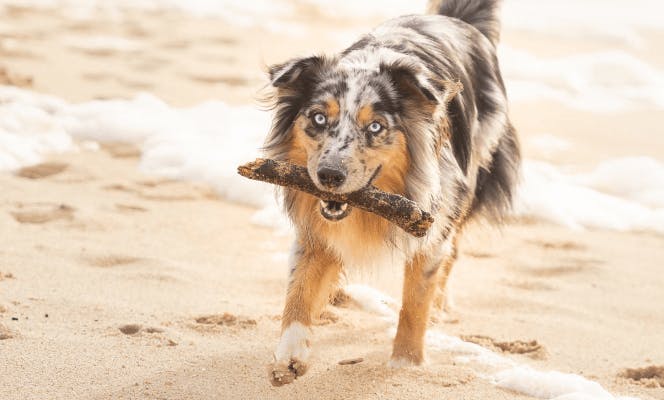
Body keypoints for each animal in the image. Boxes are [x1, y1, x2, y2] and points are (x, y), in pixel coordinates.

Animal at [264, 0, 520, 388]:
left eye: (375, 127)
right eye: (319, 118)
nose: (329, 176)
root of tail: (456, 19)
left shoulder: (432, 226)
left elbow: (415, 301)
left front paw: (407, 364)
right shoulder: (315, 229)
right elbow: (299, 291)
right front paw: (289, 356)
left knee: (453, 252)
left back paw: (440, 309)